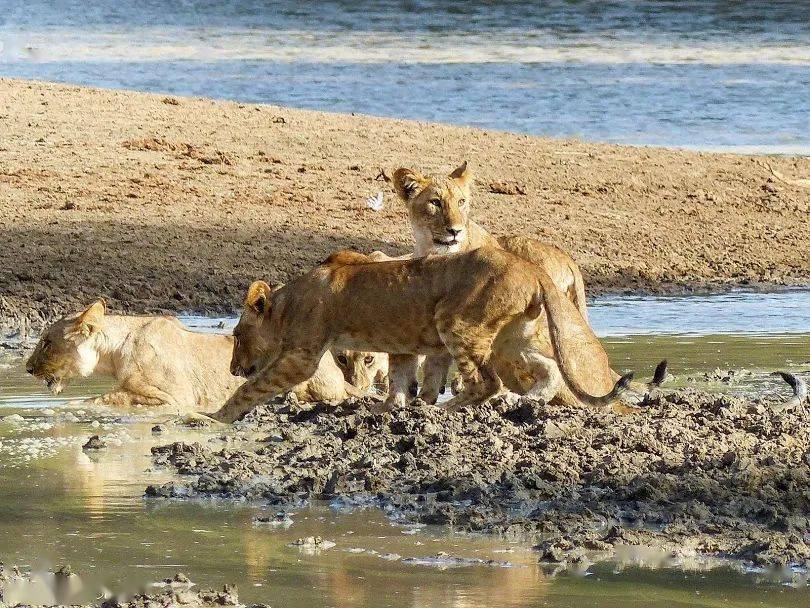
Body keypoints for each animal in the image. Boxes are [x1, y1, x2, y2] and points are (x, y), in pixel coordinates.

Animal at [26, 300, 360, 414]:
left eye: (46, 342)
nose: (28, 368)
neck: (115, 352)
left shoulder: (174, 397)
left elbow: (108, 397)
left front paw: (70, 406)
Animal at [211, 247, 628, 422]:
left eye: (238, 334)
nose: (231, 367)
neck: (289, 302)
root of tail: (530, 266)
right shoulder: (403, 345)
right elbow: (400, 379)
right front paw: (388, 407)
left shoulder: (302, 355)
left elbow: (254, 387)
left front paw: (218, 416)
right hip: (512, 339)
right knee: (548, 369)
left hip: (457, 323)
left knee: (486, 382)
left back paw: (444, 409)